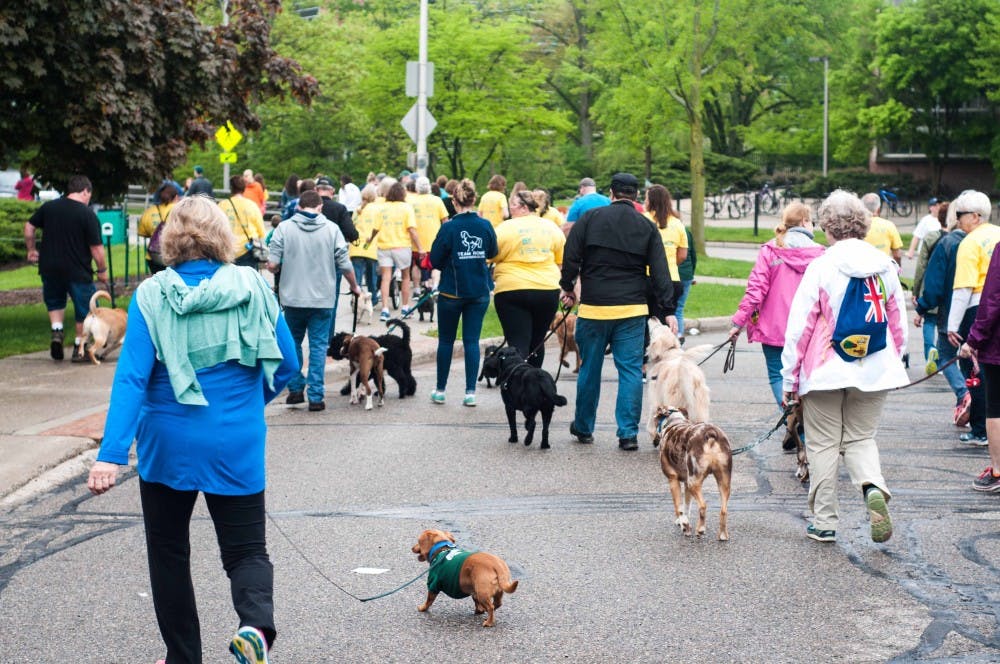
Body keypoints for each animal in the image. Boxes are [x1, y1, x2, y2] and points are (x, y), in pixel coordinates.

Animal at [656, 408, 736, 544]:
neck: (675, 421)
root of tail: (710, 432)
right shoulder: (686, 483)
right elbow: (686, 506)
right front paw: (684, 522)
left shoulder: (673, 480)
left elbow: (679, 507)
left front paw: (684, 524)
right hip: (723, 482)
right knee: (723, 510)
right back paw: (723, 535)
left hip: (694, 481)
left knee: (703, 506)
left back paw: (701, 529)